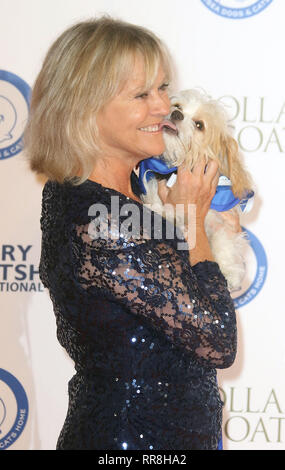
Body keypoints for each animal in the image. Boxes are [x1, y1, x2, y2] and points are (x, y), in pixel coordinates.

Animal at [140, 89, 253, 290]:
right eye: (177, 106)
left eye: (199, 125)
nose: (176, 114)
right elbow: (163, 205)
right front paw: (165, 213)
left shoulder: (220, 217)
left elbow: (224, 240)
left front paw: (230, 272)